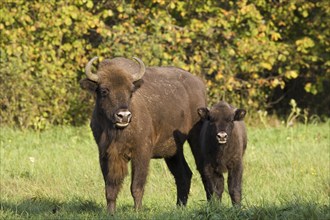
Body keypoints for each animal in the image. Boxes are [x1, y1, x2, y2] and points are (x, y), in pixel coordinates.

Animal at [80, 56, 206, 213]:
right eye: (104, 90)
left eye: (130, 91)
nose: (124, 116)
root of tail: (199, 84)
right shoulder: (105, 154)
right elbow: (110, 187)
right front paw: (110, 212)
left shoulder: (141, 153)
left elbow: (136, 186)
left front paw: (137, 211)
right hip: (174, 151)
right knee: (183, 174)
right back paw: (179, 207)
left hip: (195, 139)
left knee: (203, 170)